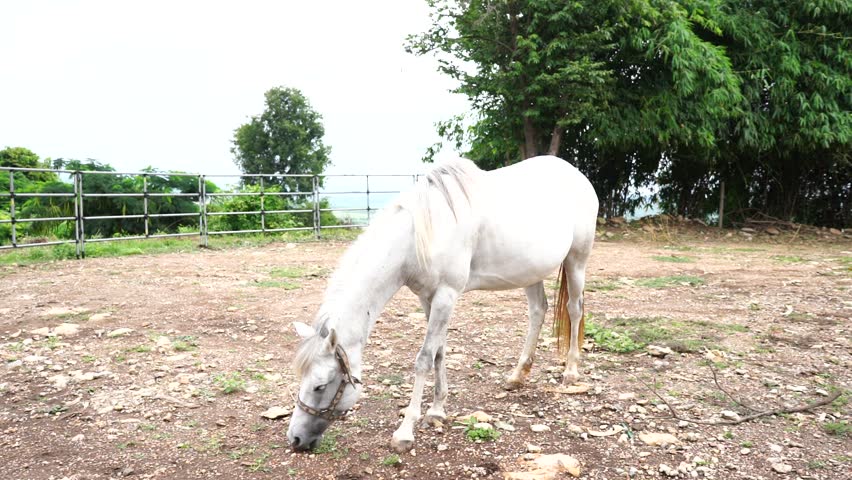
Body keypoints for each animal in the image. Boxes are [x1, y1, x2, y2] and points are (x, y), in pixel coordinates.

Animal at [286, 155, 598, 452]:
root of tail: (577, 175)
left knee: (574, 310)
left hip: (577, 261)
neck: (421, 235)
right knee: (537, 311)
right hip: (530, 271)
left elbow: (424, 358)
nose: (296, 439)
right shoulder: (428, 298)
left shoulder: (446, 296)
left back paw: (571, 371)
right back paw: (517, 375)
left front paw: (405, 432)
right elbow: (440, 352)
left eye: (320, 386)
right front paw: (437, 411)